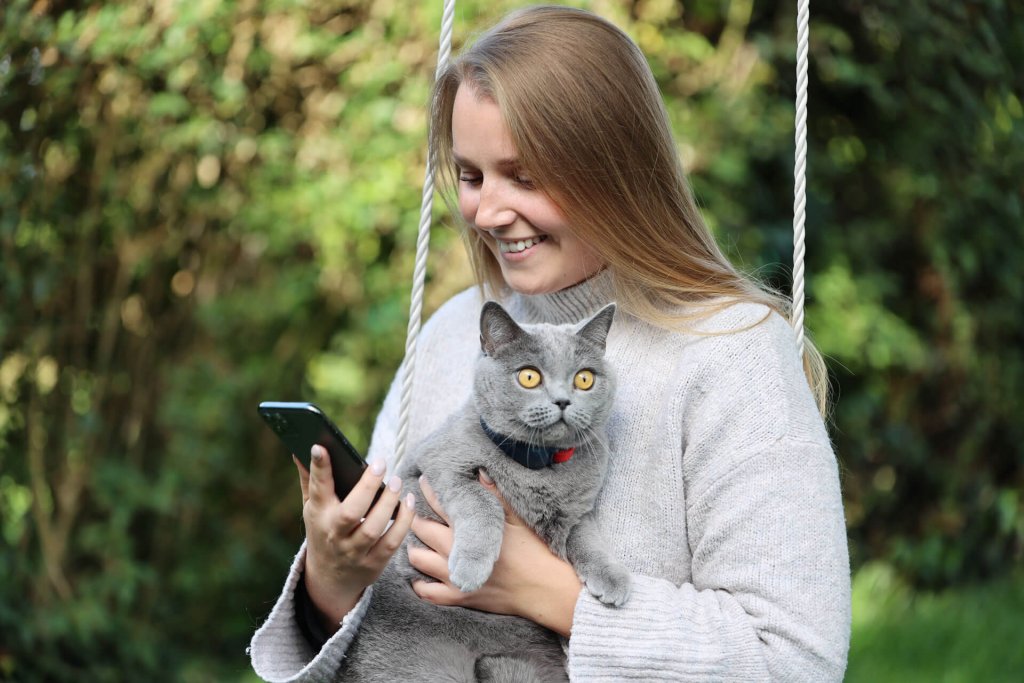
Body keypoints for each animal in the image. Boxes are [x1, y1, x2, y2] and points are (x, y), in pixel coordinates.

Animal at [335, 303, 626, 683]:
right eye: (529, 377)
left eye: (584, 379)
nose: (563, 400)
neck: (538, 466)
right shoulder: (435, 470)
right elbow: (483, 501)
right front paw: (470, 568)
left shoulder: (579, 511)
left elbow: (587, 539)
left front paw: (613, 580)